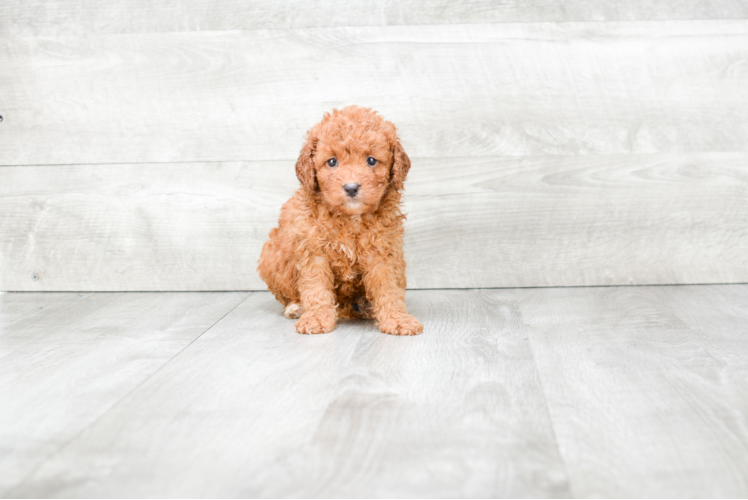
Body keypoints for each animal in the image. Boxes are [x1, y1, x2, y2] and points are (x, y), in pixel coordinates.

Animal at [258, 105, 424, 336]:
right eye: (332, 162)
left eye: (371, 160)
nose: (351, 187)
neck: (350, 218)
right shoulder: (313, 251)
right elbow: (316, 287)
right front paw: (317, 318)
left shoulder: (383, 251)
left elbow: (389, 288)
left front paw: (397, 319)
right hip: (271, 255)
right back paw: (295, 307)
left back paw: (365, 305)